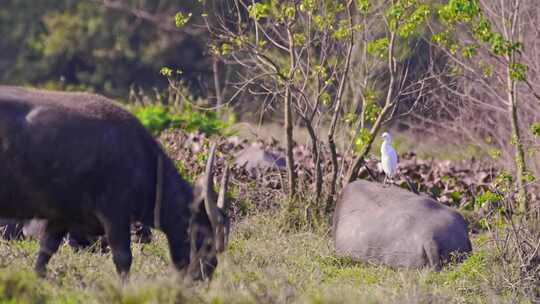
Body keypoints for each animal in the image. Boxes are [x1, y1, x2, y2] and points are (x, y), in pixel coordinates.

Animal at [0, 86, 230, 280]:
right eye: (203, 237)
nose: (205, 273)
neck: (139, 158)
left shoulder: (61, 217)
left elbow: (45, 253)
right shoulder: (115, 214)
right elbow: (123, 258)